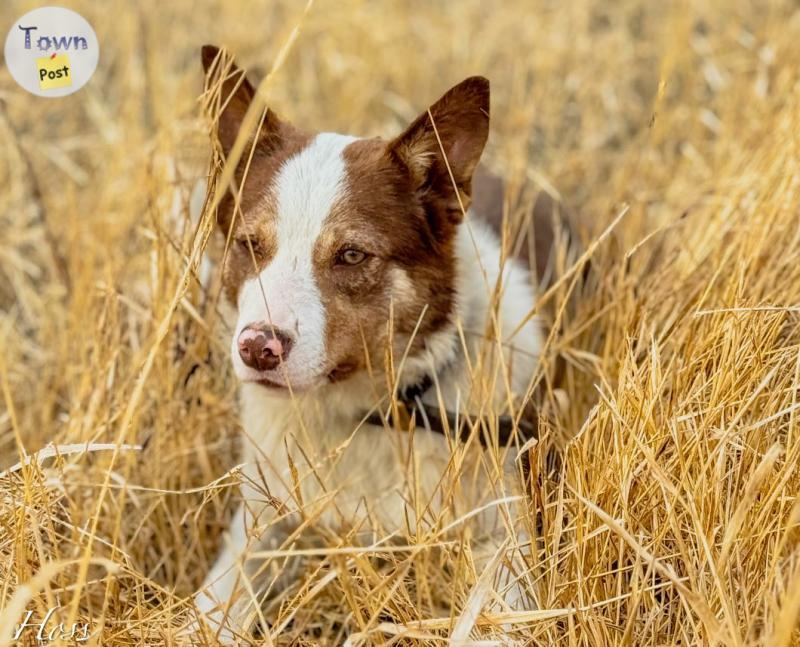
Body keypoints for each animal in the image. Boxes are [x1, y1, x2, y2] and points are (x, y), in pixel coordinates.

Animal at [193, 45, 556, 644]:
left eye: (352, 255)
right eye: (250, 244)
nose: (257, 349)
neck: (370, 412)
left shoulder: (509, 534)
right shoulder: (260, 520)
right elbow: (209, 609)